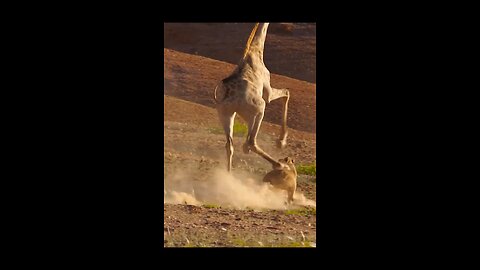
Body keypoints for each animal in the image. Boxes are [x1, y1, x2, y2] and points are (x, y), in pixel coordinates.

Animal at [213, 22, 288, 172]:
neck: (256, 51)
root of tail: (228, 94)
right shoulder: (268, 92)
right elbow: (286, 93)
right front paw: (281, 141)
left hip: (226, 114)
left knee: (229, 145)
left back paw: (228, 175)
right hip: (258, 110)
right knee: (250, 143)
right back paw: (279, 165)